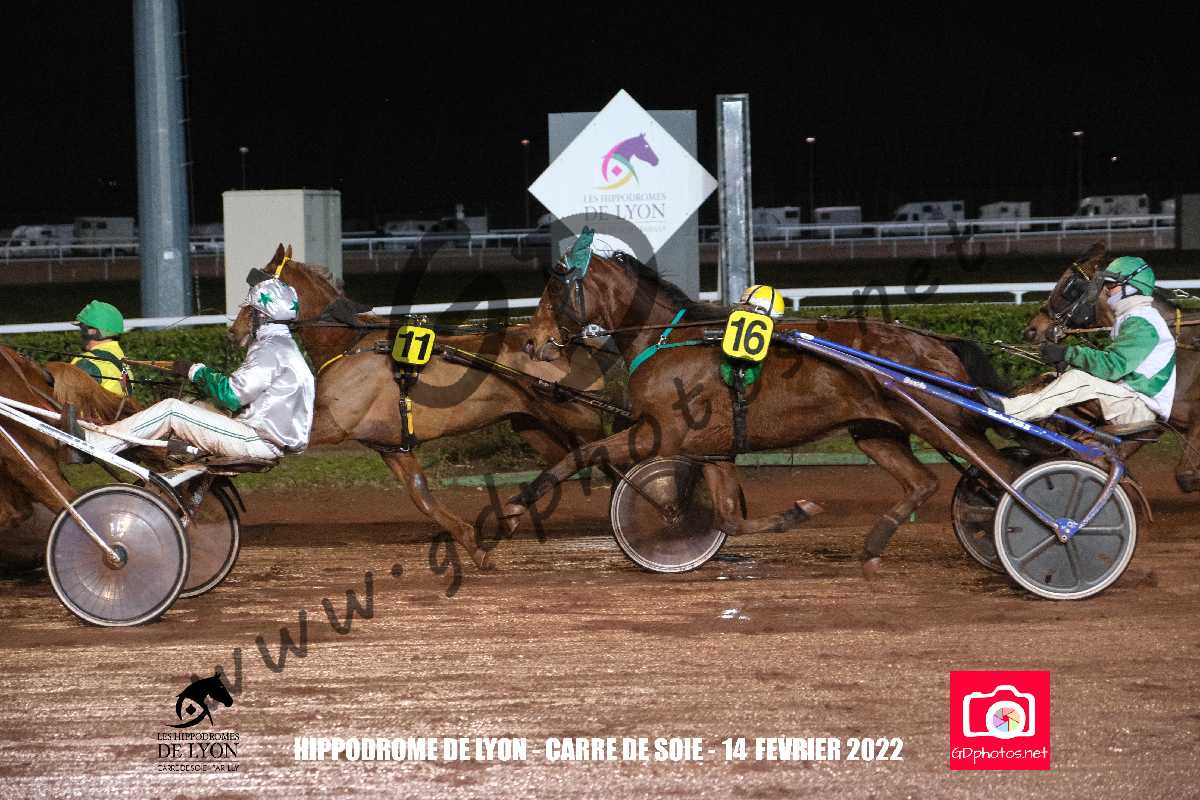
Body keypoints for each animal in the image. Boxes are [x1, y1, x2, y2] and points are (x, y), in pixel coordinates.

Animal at [229, 245, 613, 570]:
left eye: (257, 291)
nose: (233, 331)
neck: (350, 344)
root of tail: (566, 343)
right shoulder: (390, 446)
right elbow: (421, 495)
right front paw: (473, 545)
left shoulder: (333, 424)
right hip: (532, 424)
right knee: (567, 462)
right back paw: (515, 512)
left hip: (577, 416)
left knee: (603, 454)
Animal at [504, 249, 1017, 574]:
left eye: (553, 295)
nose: (531, 342)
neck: (667, 340)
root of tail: (938, 341)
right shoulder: (712, 449)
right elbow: (728, 518)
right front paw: (793, 515)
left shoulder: (659, 432)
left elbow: (578, 455)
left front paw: (513, 507)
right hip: (876, 431)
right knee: (924, 481)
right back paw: (875, 546)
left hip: (941, 421)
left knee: (1001, 470)